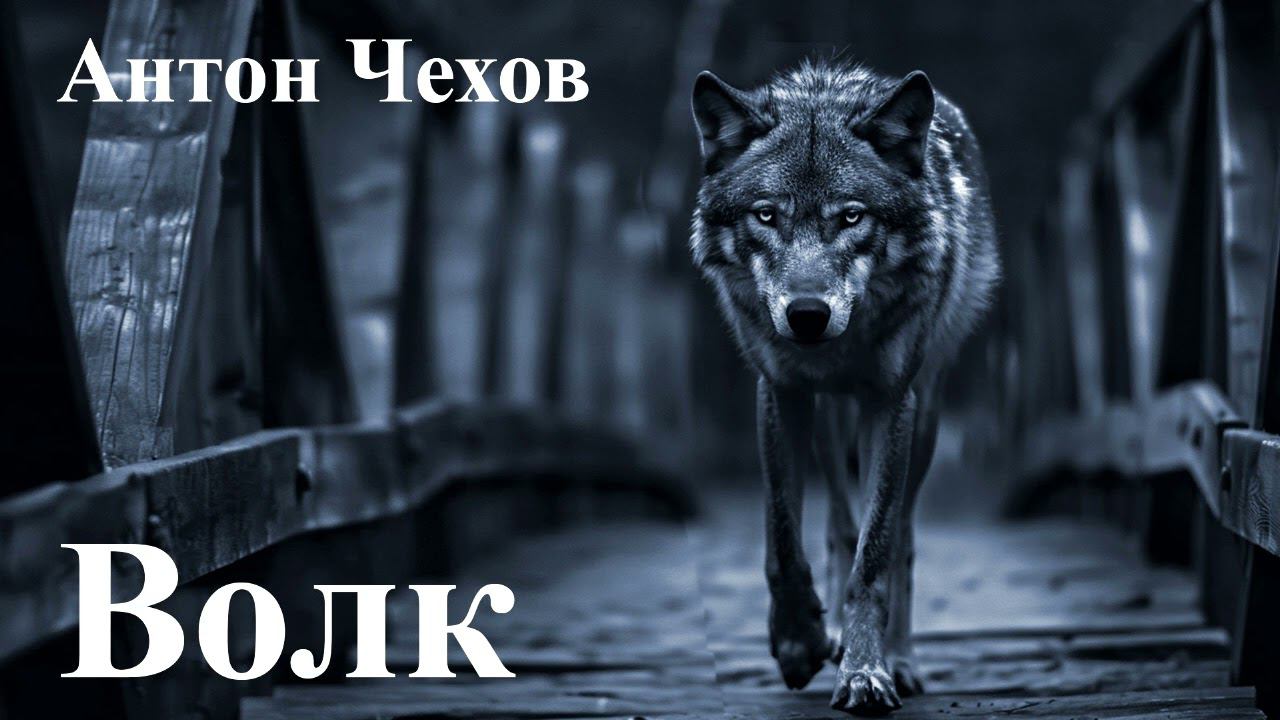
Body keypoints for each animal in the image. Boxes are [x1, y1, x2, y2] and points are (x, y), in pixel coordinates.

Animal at [689, 60, 1000, 715]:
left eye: (852, 216)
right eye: (766, 215)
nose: (807, 315)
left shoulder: (890, 402)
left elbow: (875, 556)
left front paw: (866, 672)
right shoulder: (779, 393)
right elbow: (784, 538)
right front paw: (799, 642)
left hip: (924, 418)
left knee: (901, 536)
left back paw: (900, 659)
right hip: (831, 424)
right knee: (836, 522)